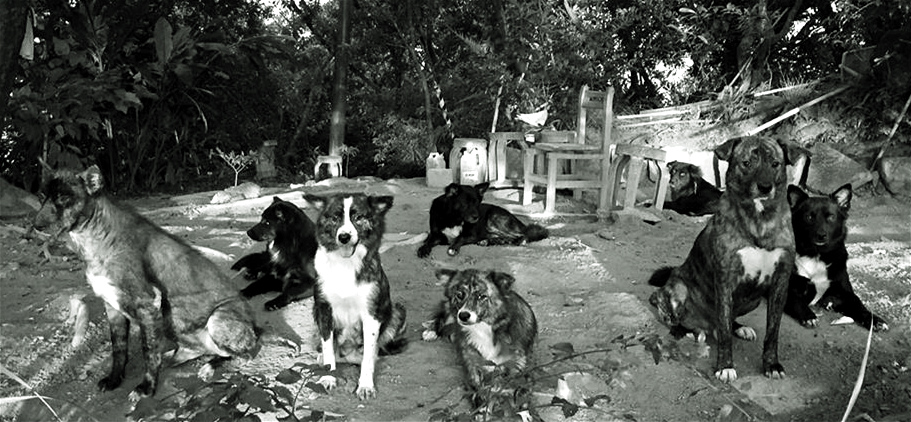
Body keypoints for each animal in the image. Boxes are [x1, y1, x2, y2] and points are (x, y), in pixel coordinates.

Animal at [648, 135, 804, 382]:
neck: (758, 220)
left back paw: (738, 327)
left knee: (728, 321)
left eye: (775, 164)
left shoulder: (780, 282)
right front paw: (725, 366)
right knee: (675, 316)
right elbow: (724, 332)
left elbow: (773, 332)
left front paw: (772, 365)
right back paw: (685, 331)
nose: (765, 187)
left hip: (753, 299)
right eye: (746, 163)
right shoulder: (724, 279)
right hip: (678, 288)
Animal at [784, 183, 892, 332]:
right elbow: (797, 301)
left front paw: (874, 320)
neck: (817, 255)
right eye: (809, 217)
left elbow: (859, 304)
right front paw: (809, 316)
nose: (821, 235)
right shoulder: (788, 289)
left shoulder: (845, 292)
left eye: (831, 217)